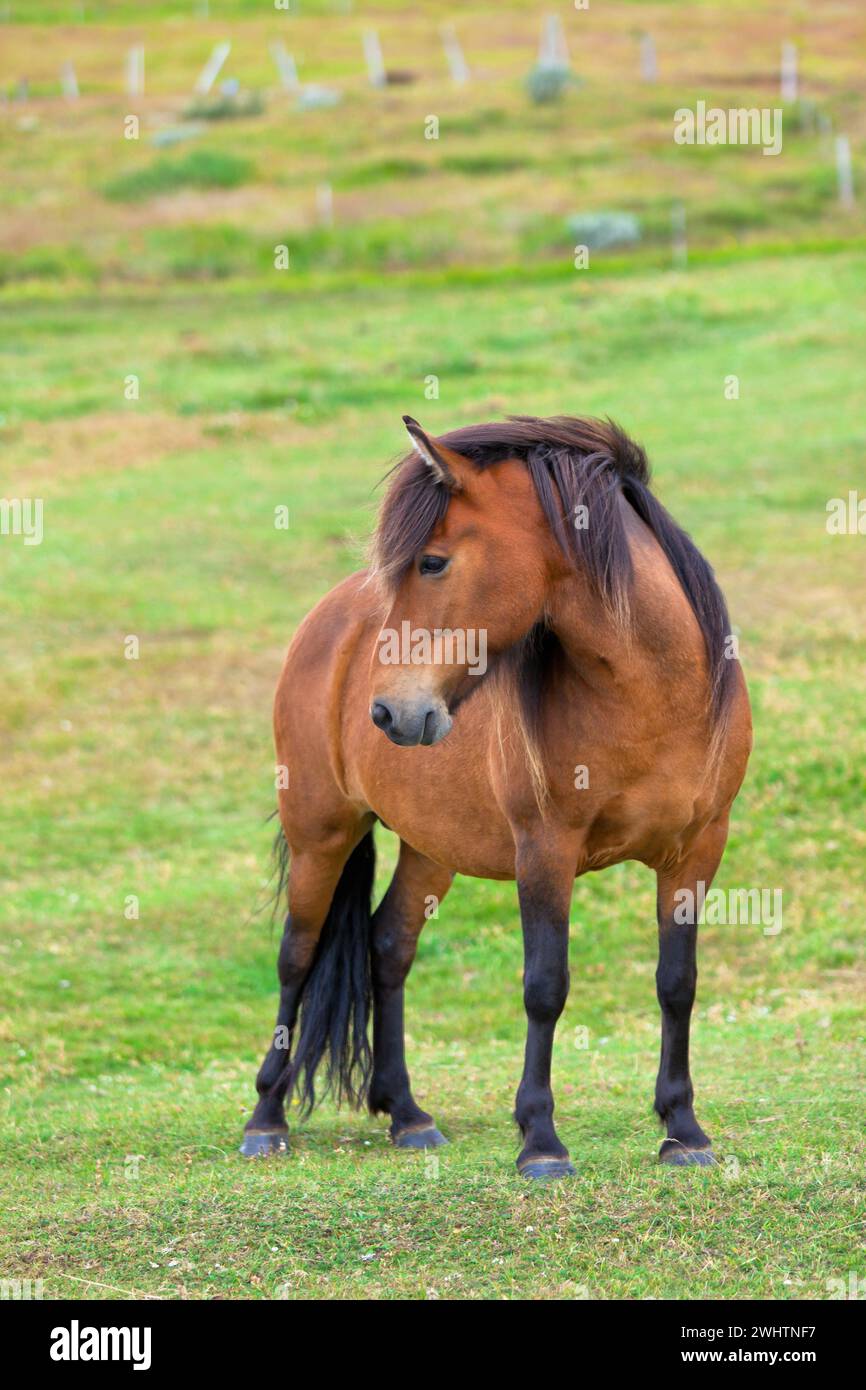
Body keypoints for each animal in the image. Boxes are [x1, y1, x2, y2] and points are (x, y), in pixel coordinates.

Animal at [241, 414, 752, 1179]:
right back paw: (265, 1119)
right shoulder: (545, 850)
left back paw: (408, 1115)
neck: (652, 696)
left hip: (430, 847)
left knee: (389, 946)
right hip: (320, 834)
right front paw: (540, 1141)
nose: (387, 713)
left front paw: (684, 1130)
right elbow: (545, 986)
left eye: (432, 562)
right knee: (295, 957)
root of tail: (329, 618)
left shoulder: (697, 850)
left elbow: (677, 983)